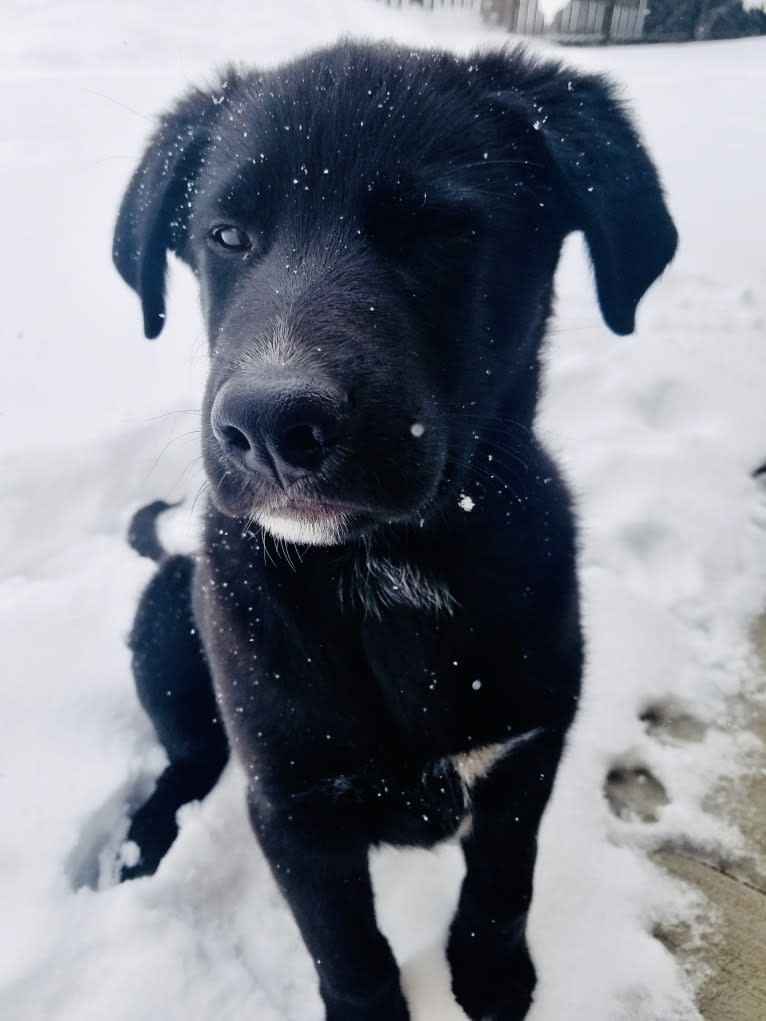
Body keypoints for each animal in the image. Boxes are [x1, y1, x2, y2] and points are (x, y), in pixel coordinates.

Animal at [113, 41, 678, 1021]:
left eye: (441, 232)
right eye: (227, 236)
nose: (268, 424)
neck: (386, 572)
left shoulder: (527, 756)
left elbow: (502, 884)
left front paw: (492, 977)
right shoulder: (291, 808)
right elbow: (346, 945)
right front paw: (374, 1007)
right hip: (166, 631)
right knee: (186, 759)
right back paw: (143, 839)